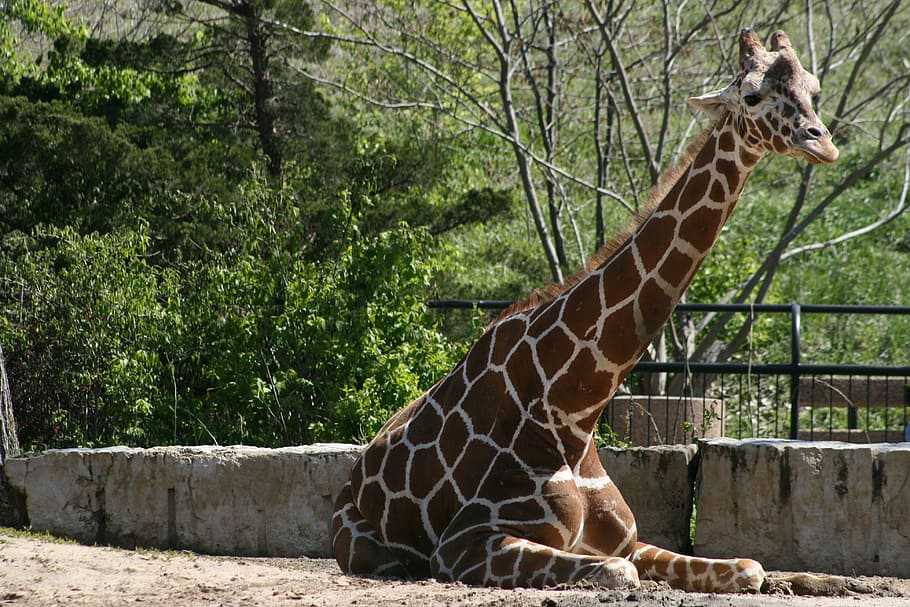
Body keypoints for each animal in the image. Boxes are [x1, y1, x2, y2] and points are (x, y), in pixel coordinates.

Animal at [332, 29, 836, 592]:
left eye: (814, 89)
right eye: (750, 96)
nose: (822, 143)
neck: (574, 409)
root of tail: (352, 478)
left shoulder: (625, 539)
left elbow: (749, 567)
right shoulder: (465, 544)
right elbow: (620, 574)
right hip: (370, 552)